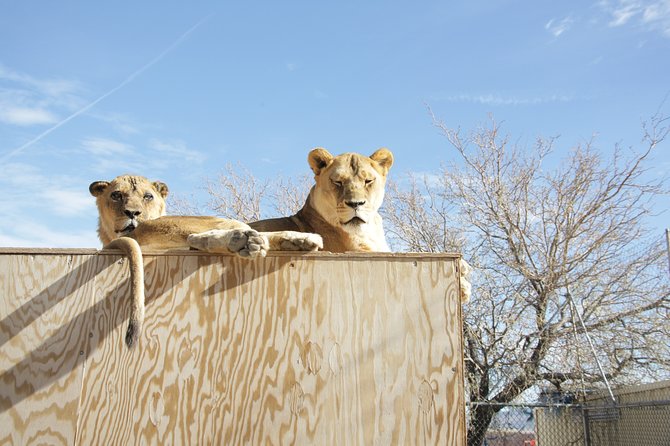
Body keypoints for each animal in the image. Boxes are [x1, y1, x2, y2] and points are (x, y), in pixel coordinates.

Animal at [90, 175, 323, 348]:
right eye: (116, 195)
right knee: (204, 237)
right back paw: (246, 241)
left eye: (148, 196)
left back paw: (296, 240)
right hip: (207, 222)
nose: (132, 213)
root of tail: (135, 234)